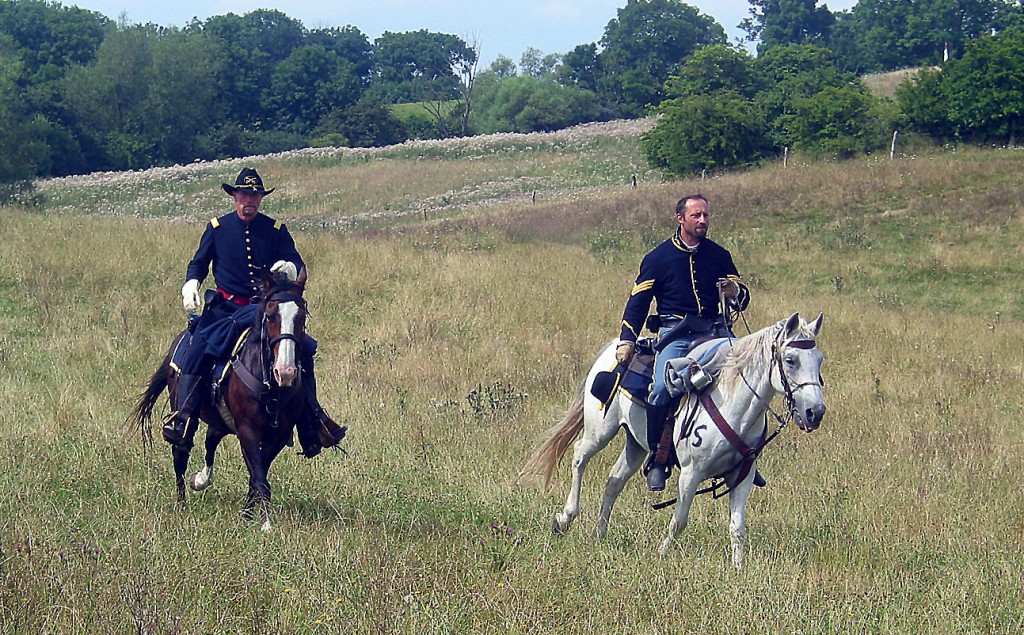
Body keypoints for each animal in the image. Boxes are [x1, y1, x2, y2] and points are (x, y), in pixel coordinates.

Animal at [126, 268, 307, 532]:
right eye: (271, 315)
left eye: (301, 317)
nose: (285, 372)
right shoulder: (248, 431)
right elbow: (260, 479)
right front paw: (265, 524)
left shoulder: (278, 437)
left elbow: (256, 477)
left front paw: (247, 516)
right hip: (185, 416)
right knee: (181, 451)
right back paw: (182, 503)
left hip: (221, 421)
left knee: (210, 441)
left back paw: (202, 479)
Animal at [520, 313, 823, 569]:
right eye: (791, 360)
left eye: (819, 359)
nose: (815, 412)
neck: (733, 403)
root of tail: (615, 347)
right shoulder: (691, 473)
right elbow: (679, 521)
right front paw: (661, 555)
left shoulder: (742, 476)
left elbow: (738, 526)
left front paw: (738, 569)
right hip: (600, 432)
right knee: (578, 458)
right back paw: (564, 519)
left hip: (635, 444)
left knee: (614, 480)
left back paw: (599, 533)